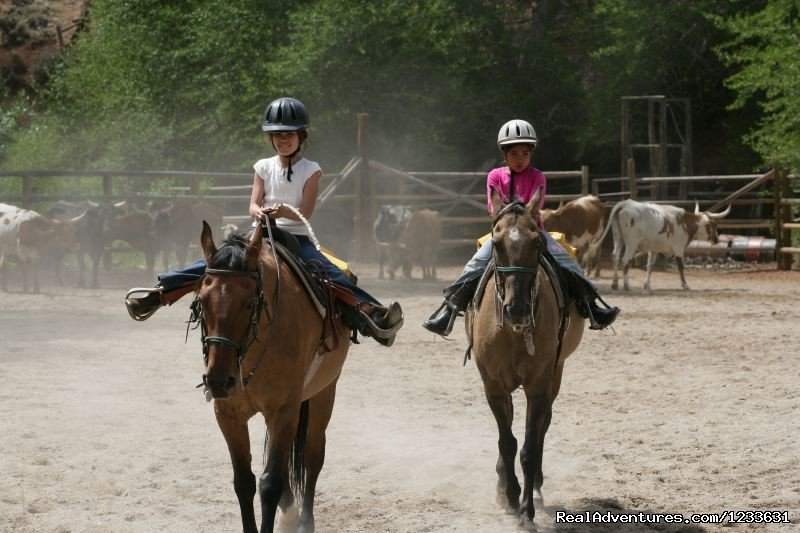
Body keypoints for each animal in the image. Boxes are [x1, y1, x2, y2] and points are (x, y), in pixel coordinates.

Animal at [195, 221, 350, 532]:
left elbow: (270, 483)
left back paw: (304, 521)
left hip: (324, 392)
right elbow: (244, 481)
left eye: (249, 303)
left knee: (312, 457)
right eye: (202, 302)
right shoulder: (228, 414)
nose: (218, 381)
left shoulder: (284, 410)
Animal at [462, 189, 588, 524]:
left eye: (536, 243)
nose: (516, 308)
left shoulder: (539, 385)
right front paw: (509, 492)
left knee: (543, 426)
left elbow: (530, 446)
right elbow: (507, 441)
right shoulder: (493, 385)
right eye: (496, 242)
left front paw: (526, 508)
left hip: (556, 373)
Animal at [584, 200, 728, 290]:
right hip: (631, 242)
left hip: (618, 238)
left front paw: (647, 285)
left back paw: (615, 284)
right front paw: (685, 285)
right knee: (625, 260)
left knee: (615, 256)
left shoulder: (653, 250)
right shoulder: (679, 248)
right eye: (714, 225)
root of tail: (625, 203)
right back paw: (626, 285)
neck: (683, 222)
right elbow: (681, 267)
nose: (717, 240)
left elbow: (650, 266)